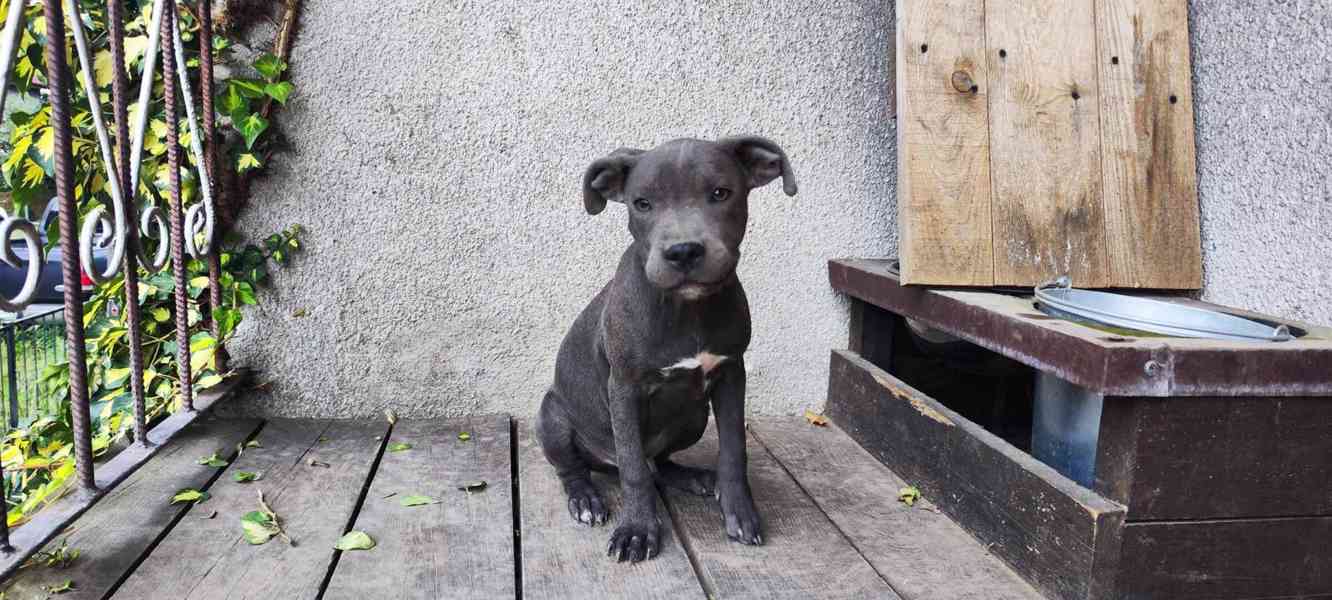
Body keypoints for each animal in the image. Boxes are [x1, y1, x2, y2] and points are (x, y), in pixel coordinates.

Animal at [535, 136, 793, 562]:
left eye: (720, 193)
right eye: (642, 203)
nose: (683, 251)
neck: (685, 307)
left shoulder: (730, 374)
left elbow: (734, 450)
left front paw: (740, 513)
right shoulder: (623, 387)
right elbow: (633, 469)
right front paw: (638, 530)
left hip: (695, 416)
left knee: (660, 461)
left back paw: (694, 477)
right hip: (552, 417)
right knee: (578, 468)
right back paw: (585, 499)